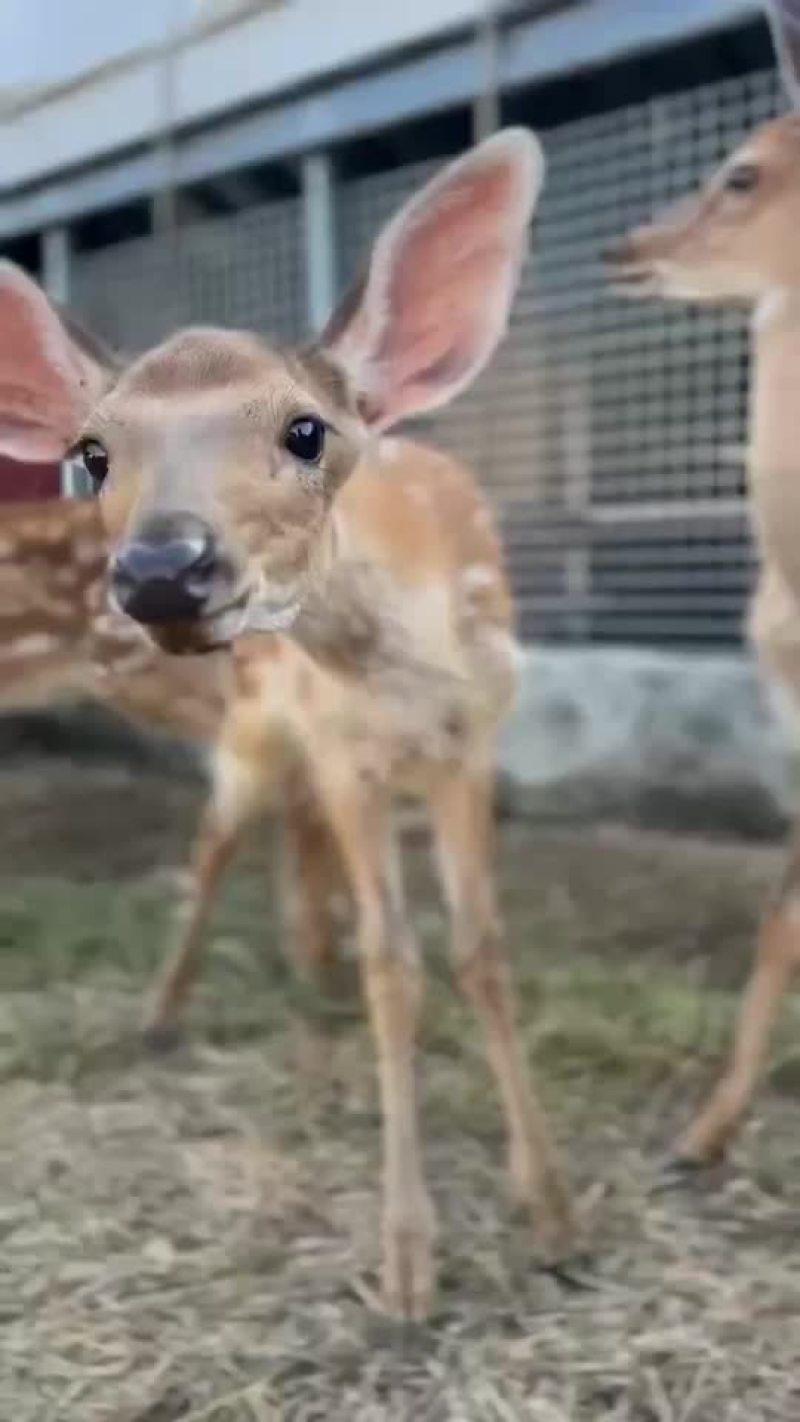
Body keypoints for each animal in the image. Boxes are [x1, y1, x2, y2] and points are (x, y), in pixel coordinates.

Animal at [0, 128, 576, 1319]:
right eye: (93, 451)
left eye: (306, 431)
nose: (163, 569)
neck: (401, 673)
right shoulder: (347, 754)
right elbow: (397, 964)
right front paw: (408, 1261)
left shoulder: (470, 745)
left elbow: (480, 951)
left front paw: (550, 1212)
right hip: (257, 736)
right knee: (219, 848)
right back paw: (169, 1013)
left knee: (299, 881)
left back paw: (316, 1015)